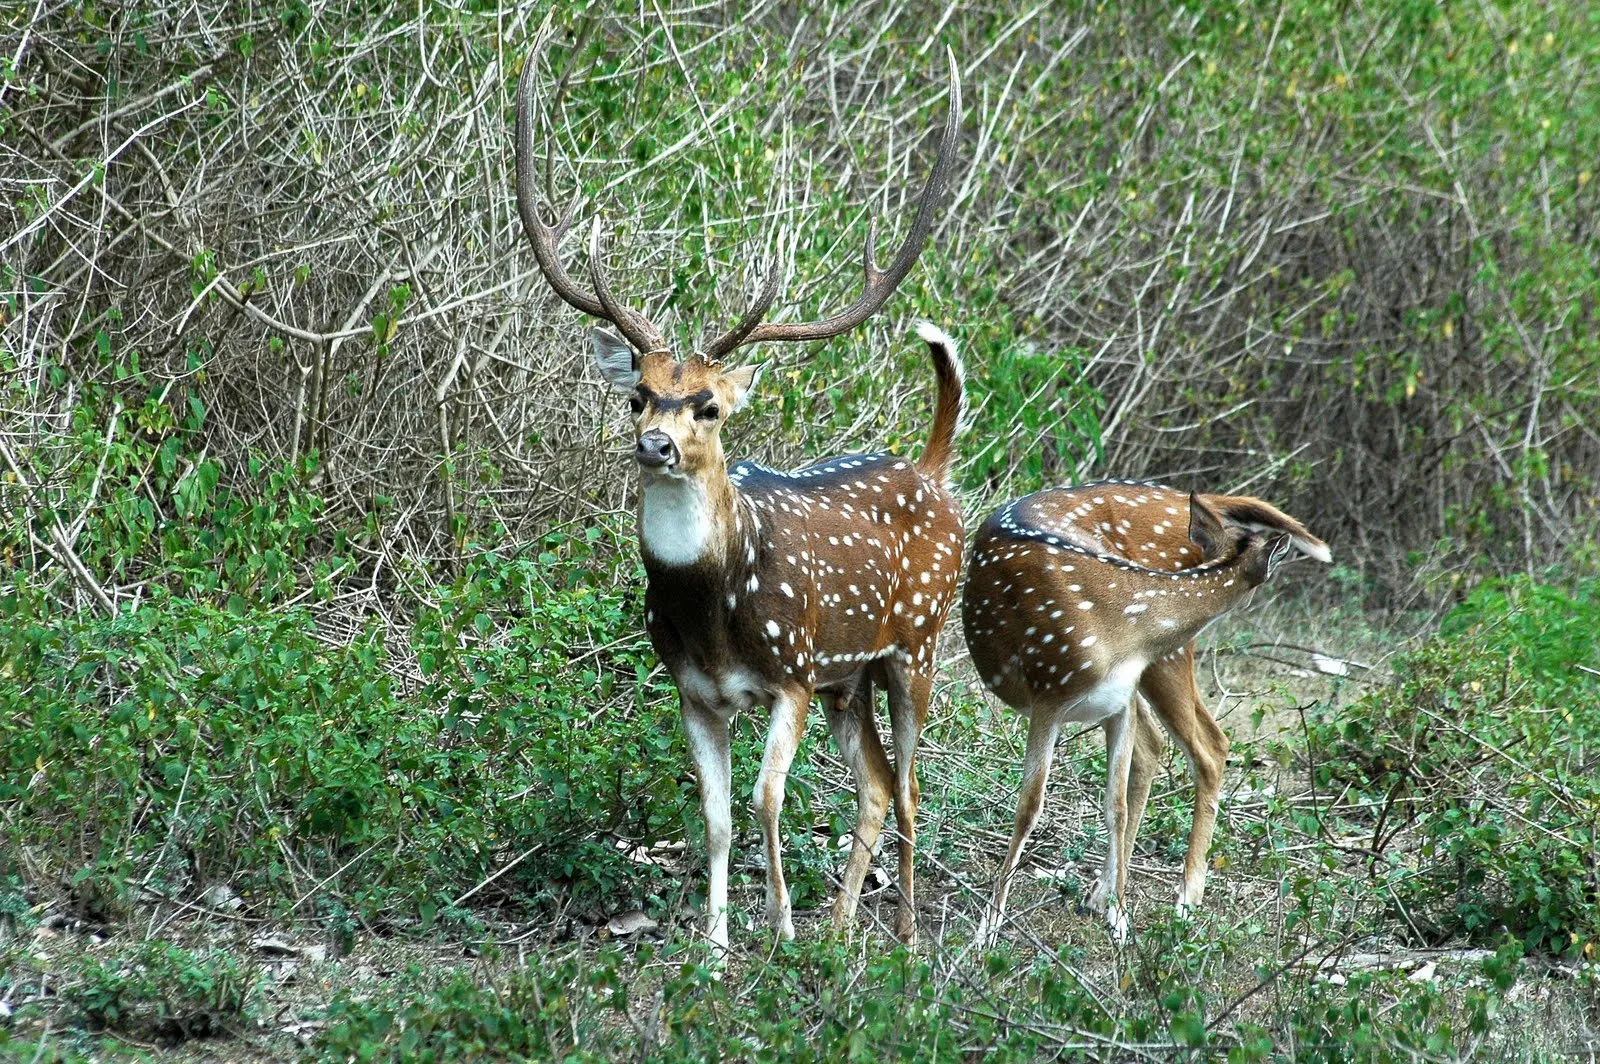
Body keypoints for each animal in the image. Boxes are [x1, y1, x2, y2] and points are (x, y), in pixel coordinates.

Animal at [515, 49, 960, 947]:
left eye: (709, 406)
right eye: (638, 396)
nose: (655, 445)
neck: (715, 612)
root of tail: (931, 473)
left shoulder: (791, 673)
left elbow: (766, 799)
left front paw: (779, 929)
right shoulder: (693, 689)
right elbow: (717, 816)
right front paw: (718, 946)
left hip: (916, 645)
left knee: (909, 789)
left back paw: (900, 938)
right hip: (849, 677)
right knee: (874, 786)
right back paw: (841, 931)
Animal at [960, 483, 1324, 940]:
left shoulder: (1116, 701)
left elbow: (1113, 805)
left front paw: (1120, 920)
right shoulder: (1049, 692)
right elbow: (1030, 808)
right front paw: (988, 926)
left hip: (1160, 668)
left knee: (1203, 745)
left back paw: (1163, 897)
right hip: (1156, 669)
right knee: (1186, 745)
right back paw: (1161, 897)